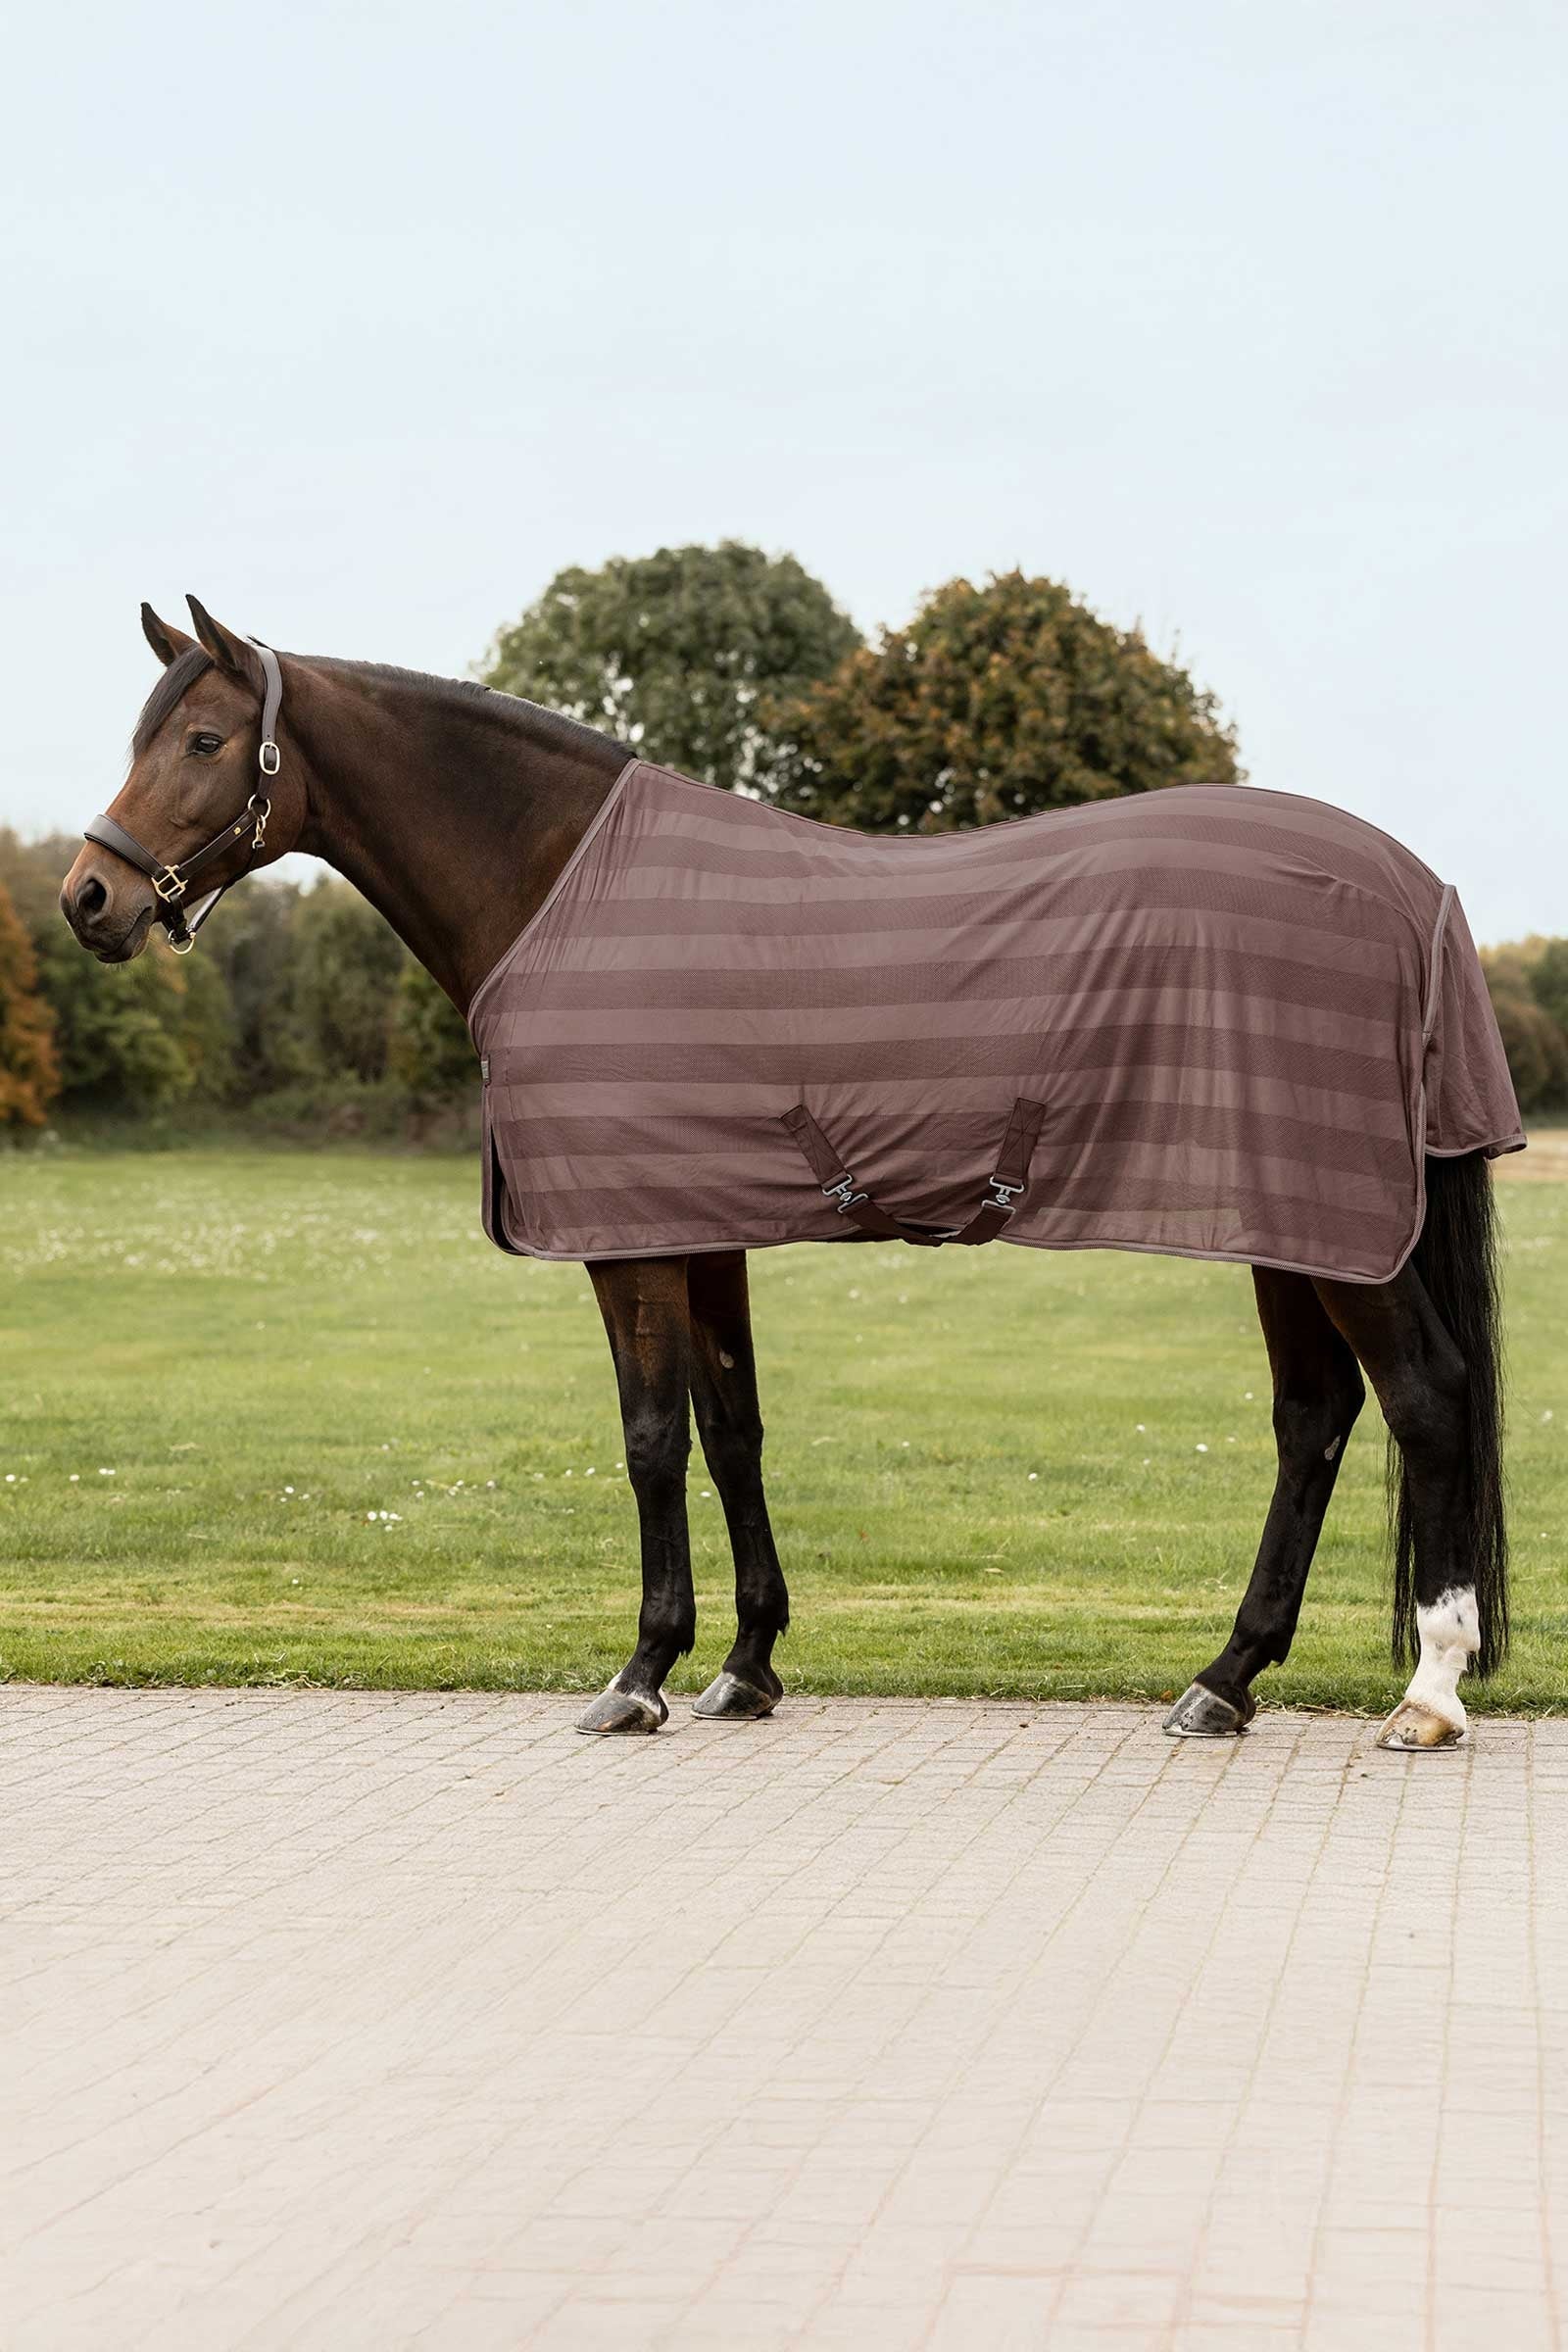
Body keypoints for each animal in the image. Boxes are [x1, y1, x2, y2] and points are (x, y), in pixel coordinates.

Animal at [59, 599, 1520, 1751]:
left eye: (202, 742)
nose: (88, 899)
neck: (566, 887)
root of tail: (1417, 889)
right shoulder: (704, 1225)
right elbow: (732, 1431)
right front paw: (745, 1667)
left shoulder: (631, 1239)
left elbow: (650, 1439)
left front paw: (641, 1671)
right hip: (1293, 1223)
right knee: (1315, 1417)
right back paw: (1224, 1680)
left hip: (1342, 1228)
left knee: (1426, 1397)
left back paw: (1428, 1693)